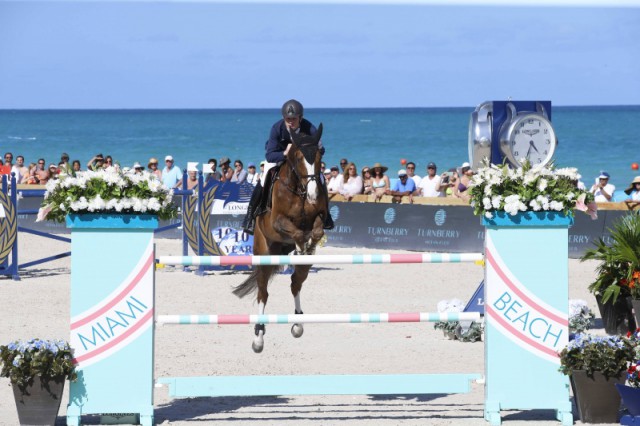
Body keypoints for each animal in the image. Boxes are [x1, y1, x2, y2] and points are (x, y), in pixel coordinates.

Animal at [232, 123, 328, 352]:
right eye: (299, 157)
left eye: (320, 155)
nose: (313, 195)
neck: (299, 189)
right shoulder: (277, 222)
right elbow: (297, 232)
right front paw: (302, 244)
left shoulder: (318, 216)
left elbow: (317, 231)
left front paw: (309, 245)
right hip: (264, 253)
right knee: (263, 293)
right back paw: (258, 336)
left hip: (297, 264)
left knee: (295, 282)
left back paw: (298, 323)